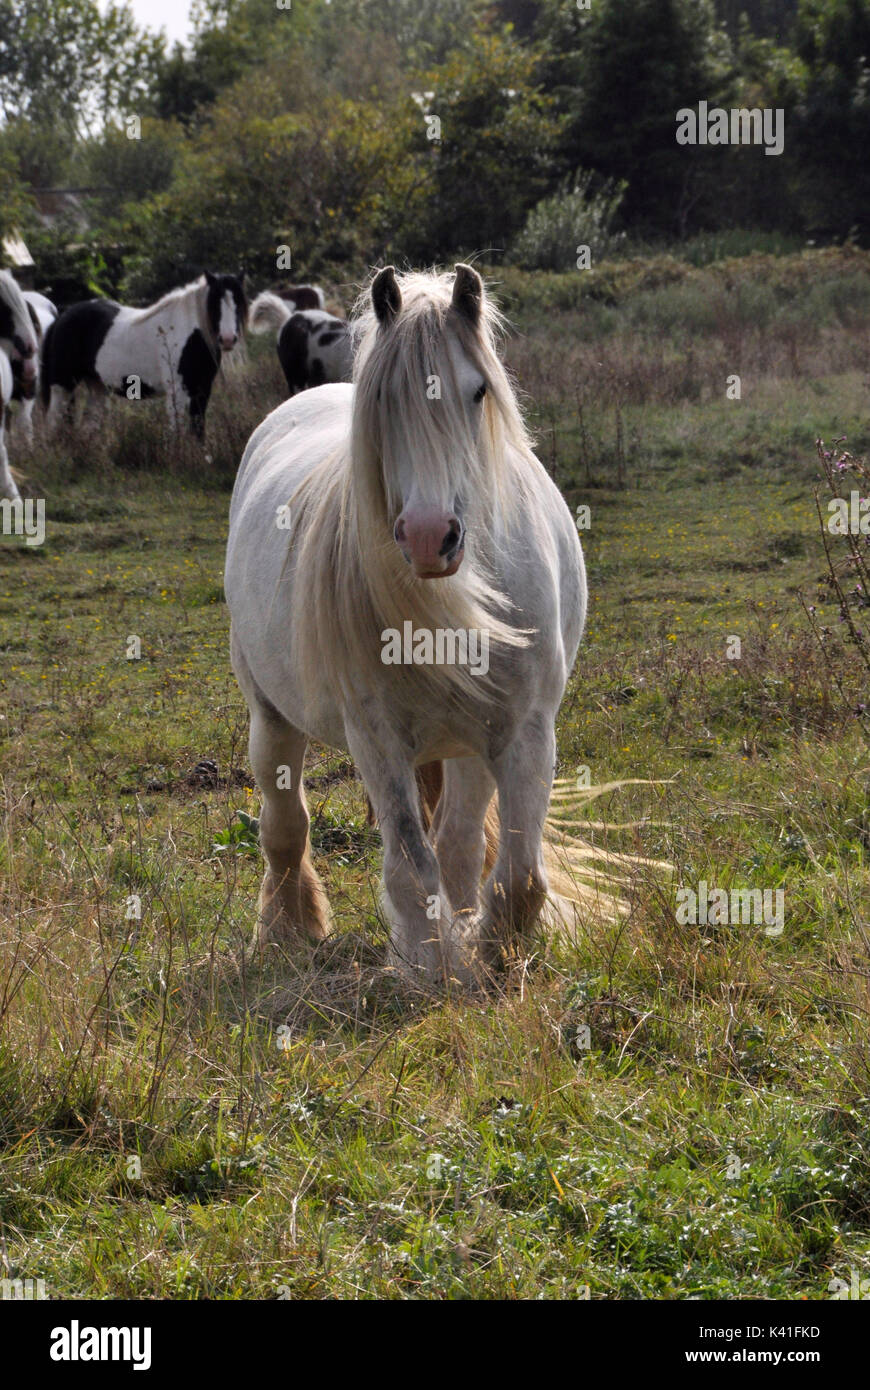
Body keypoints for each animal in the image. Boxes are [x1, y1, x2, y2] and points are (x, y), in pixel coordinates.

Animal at [41, 272, 247, 439]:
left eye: (239, 303)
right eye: (214, 304)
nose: (228, 339)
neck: (189, 332)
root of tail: (61, 317)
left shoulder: (202, 390)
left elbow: (198, 430)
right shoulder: (178, 391)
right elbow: (178, 432)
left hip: (97, 387)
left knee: (88, 427)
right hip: (63, 386)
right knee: (53, 425)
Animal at [225, 264, 587, 985]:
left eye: (478, 391)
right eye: (386, 400)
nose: (427, 537)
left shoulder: (526, 732)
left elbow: (518, 873)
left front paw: (490, 955)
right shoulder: (377, 740)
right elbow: (411, 868)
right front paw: (430, 968)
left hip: (472, 745)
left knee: (461, 840)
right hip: (271, 719)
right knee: (285, 827)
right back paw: (287, 929)